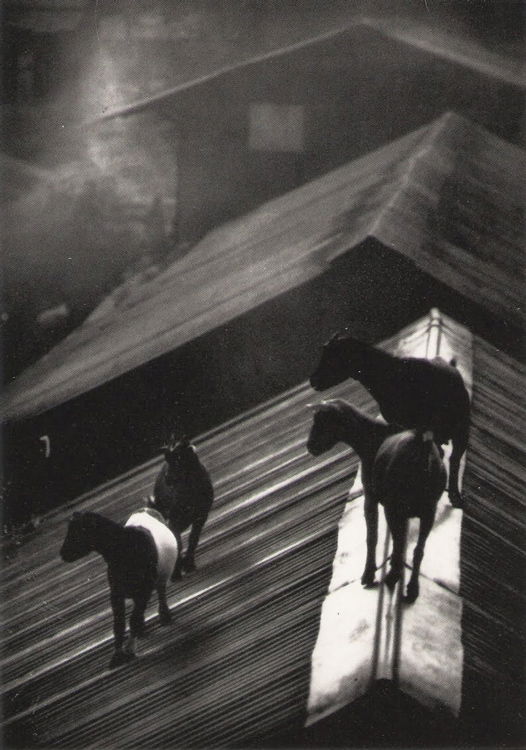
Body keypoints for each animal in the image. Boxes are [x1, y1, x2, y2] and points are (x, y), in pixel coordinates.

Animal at [150, 434, 213, 580]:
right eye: (167, 458)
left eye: (179, 458)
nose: (167, 478)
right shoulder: (173, 520)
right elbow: (178, 542)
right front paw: (177, 572)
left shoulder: (201, 516)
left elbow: (193, 539)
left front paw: (188, 565)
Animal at [308, 402, 448, 604]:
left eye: (322, 421)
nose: (309, 446)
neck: (372, 438)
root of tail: (421, 446)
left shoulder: (371, 497)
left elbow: (372, 536)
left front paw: (368, 575)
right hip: (428, 509)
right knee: (417, 550)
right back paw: (411, 589)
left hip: (394, 506)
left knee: (399, 544)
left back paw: (392, 577)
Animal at [310, 336, 470, 508]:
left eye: (333, 356)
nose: (313, 381)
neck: (391, 377)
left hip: (461, 430)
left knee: (454, 460)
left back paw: (455, 497)